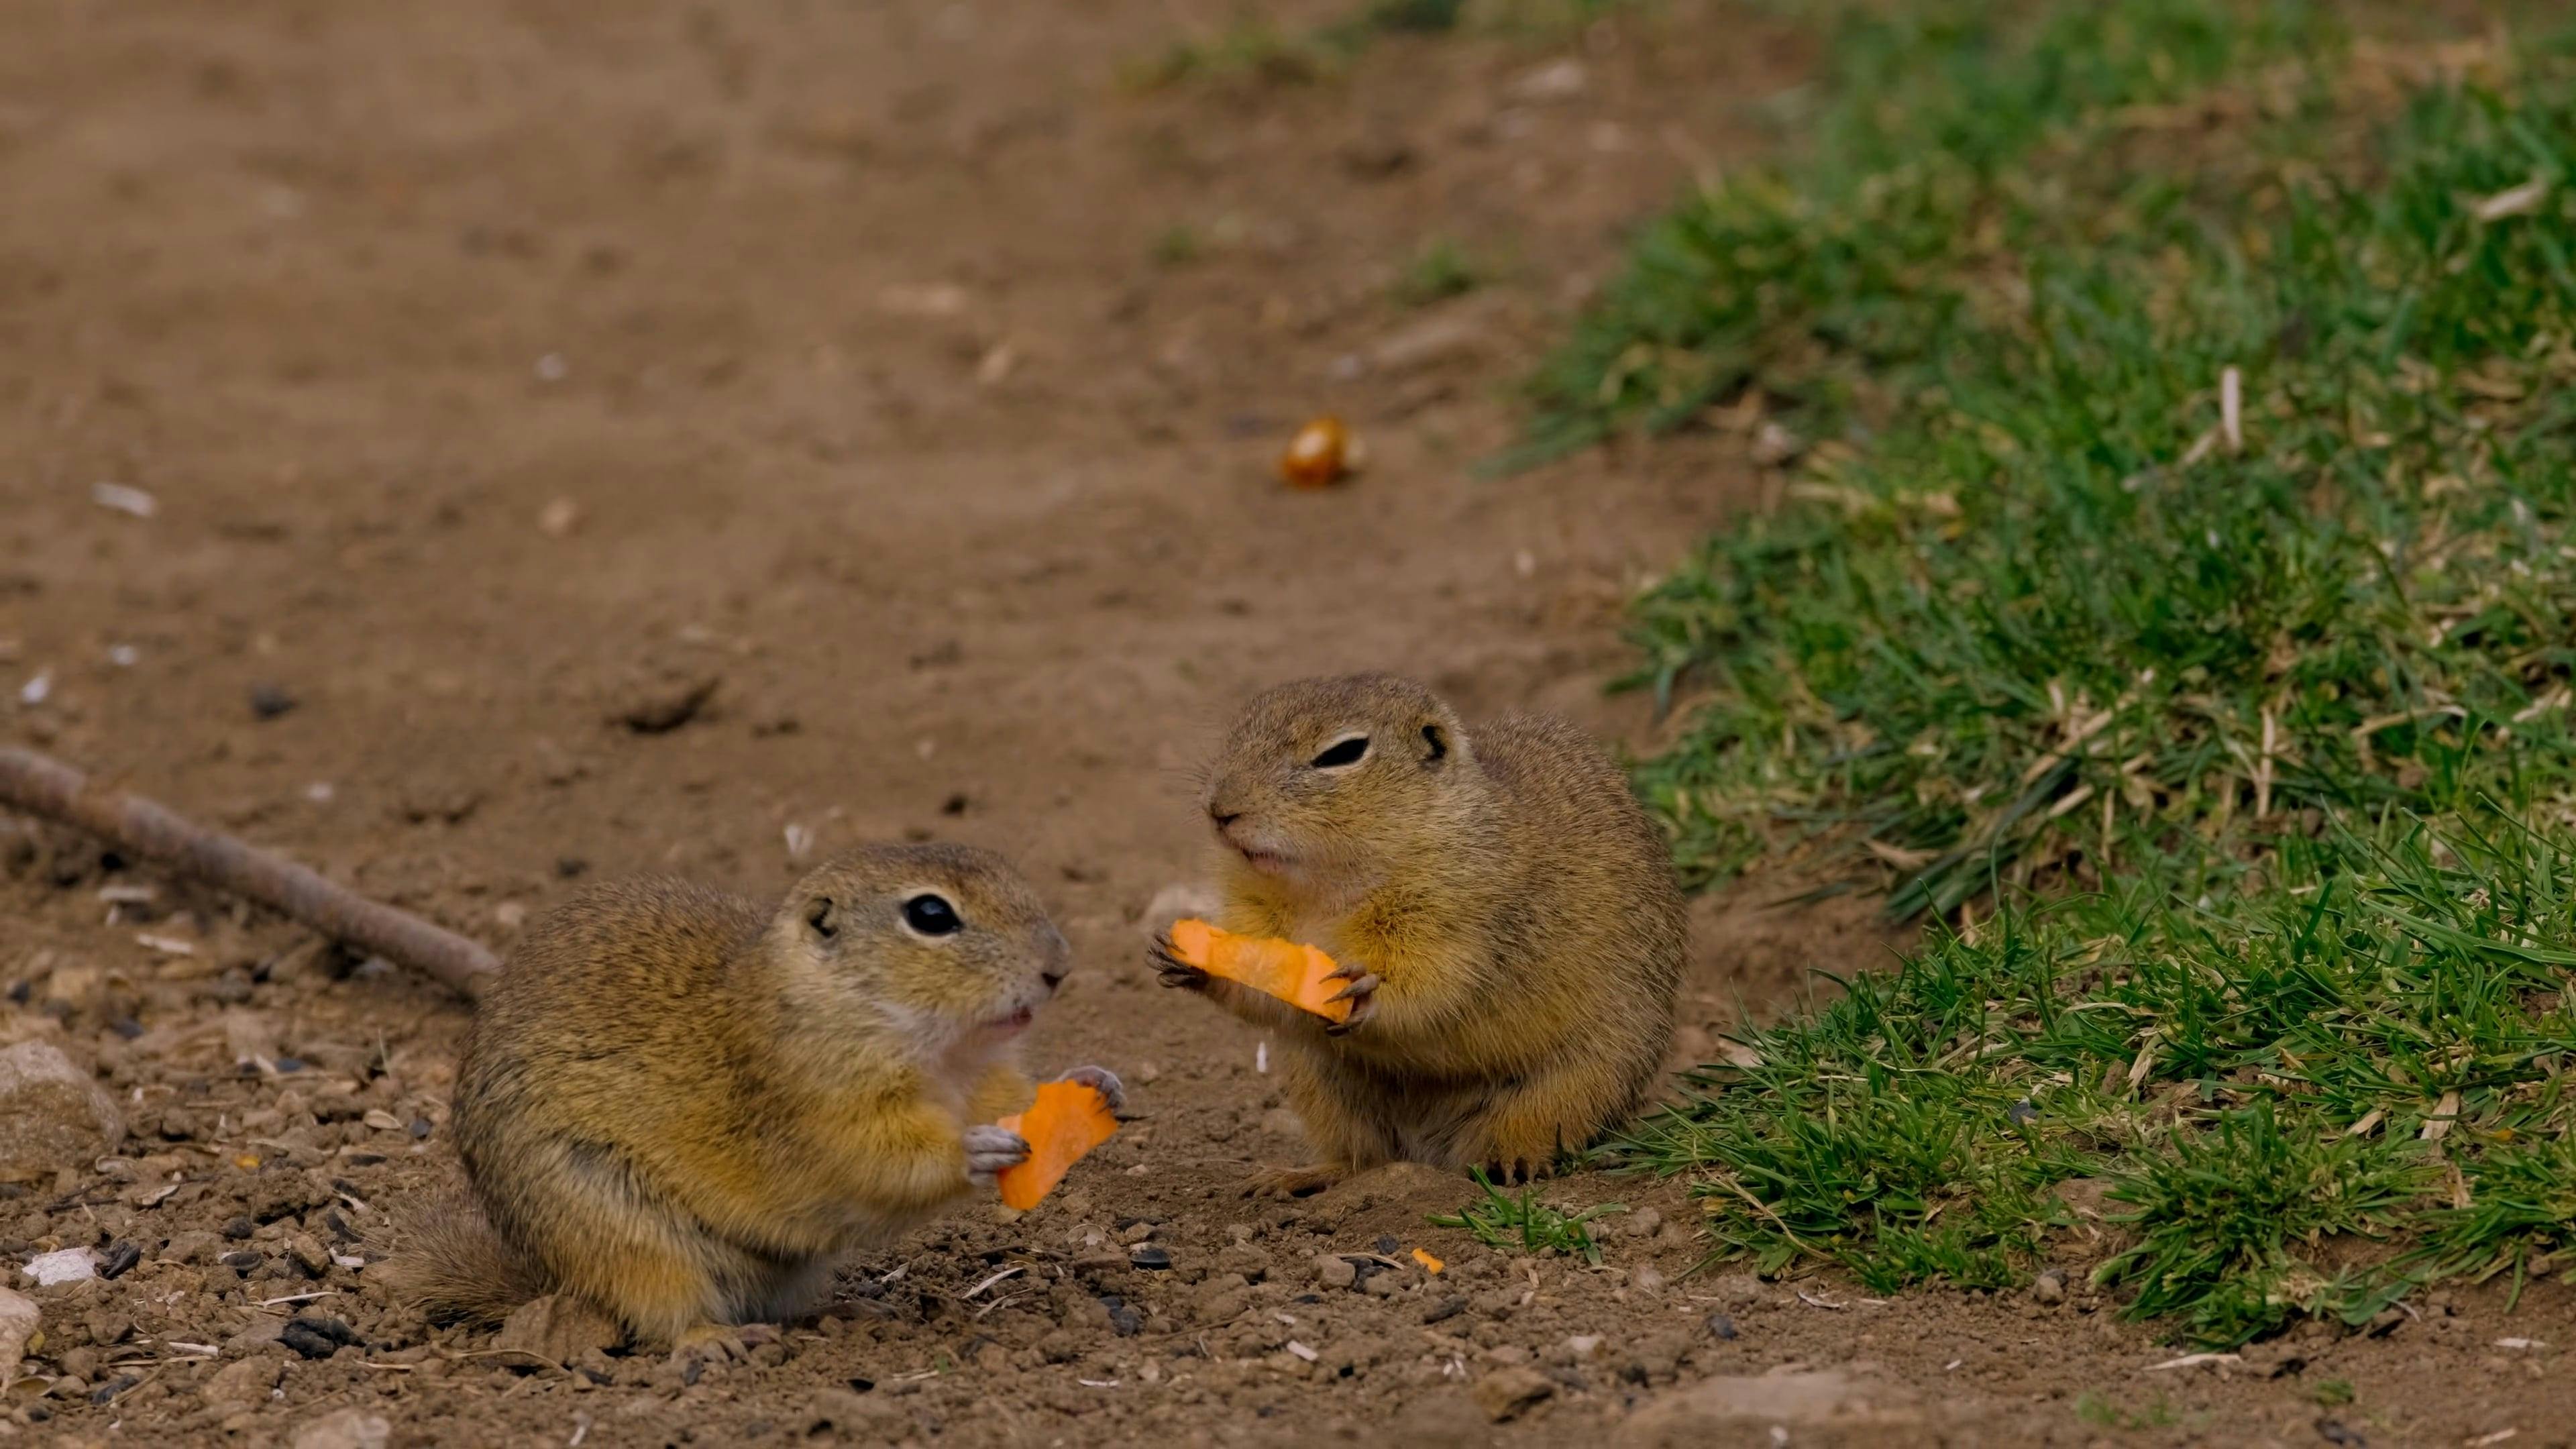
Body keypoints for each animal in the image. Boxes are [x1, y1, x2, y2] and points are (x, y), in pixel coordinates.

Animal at [396, 842, 1121, 1349]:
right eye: (931, 914)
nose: (1059, 969)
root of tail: (548, 1280)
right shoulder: (820, 1107)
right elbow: (885, 1166)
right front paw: (974, 1152)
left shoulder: (990, 1077)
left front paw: (1097, 1082)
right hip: (622, 1235)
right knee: (661, 1310)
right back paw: (709, 1341)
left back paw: (852, 1307)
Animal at [1153, 673, 1683, 1194]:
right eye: (1241, 727)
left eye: (1343, 752)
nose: (1219, 809)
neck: (1324, 889)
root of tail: (1432, 1149)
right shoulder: (1257, 913)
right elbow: (1267, 984)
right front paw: (1189, 961)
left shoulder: (1452, 906)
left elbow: (1432, 981)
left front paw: (1368, 992)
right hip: (1322, 1083)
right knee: (1362, 1158)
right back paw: (1300, 1176)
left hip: (1585, 1078)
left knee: (1533, 1126)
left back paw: (1510, 1161)